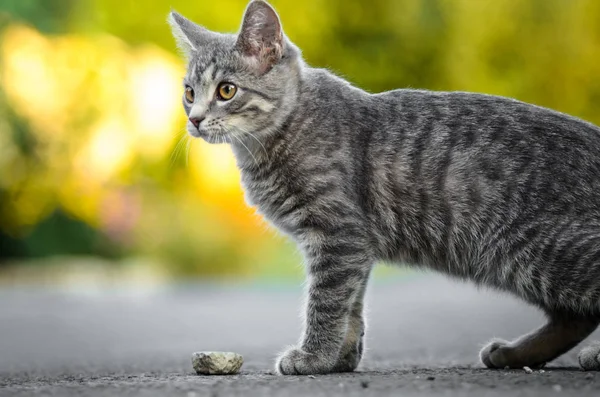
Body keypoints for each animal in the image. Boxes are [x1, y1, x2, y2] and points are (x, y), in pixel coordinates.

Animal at [170, 0, 600, 372]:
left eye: (226, 90)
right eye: (189, 92)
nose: (194, 119)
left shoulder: (339, 233)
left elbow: (326, 301)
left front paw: (315, 356)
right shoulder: (355, 244)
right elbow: (352, 303)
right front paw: (341, 357)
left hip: (541, 251)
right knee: (574, 316)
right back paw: (514, 354)